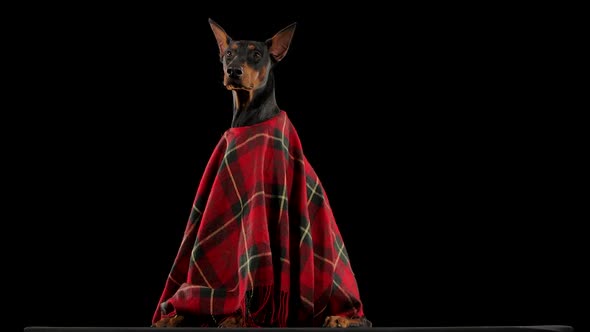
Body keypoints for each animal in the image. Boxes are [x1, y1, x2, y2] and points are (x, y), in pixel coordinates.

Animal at [150, 19, 372, 328]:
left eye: (256, 55)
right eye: (228, 54)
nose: (233, 71)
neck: (248, 118)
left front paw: (232, 318)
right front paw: (174, 315)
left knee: (363, 319)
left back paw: (340, 318)